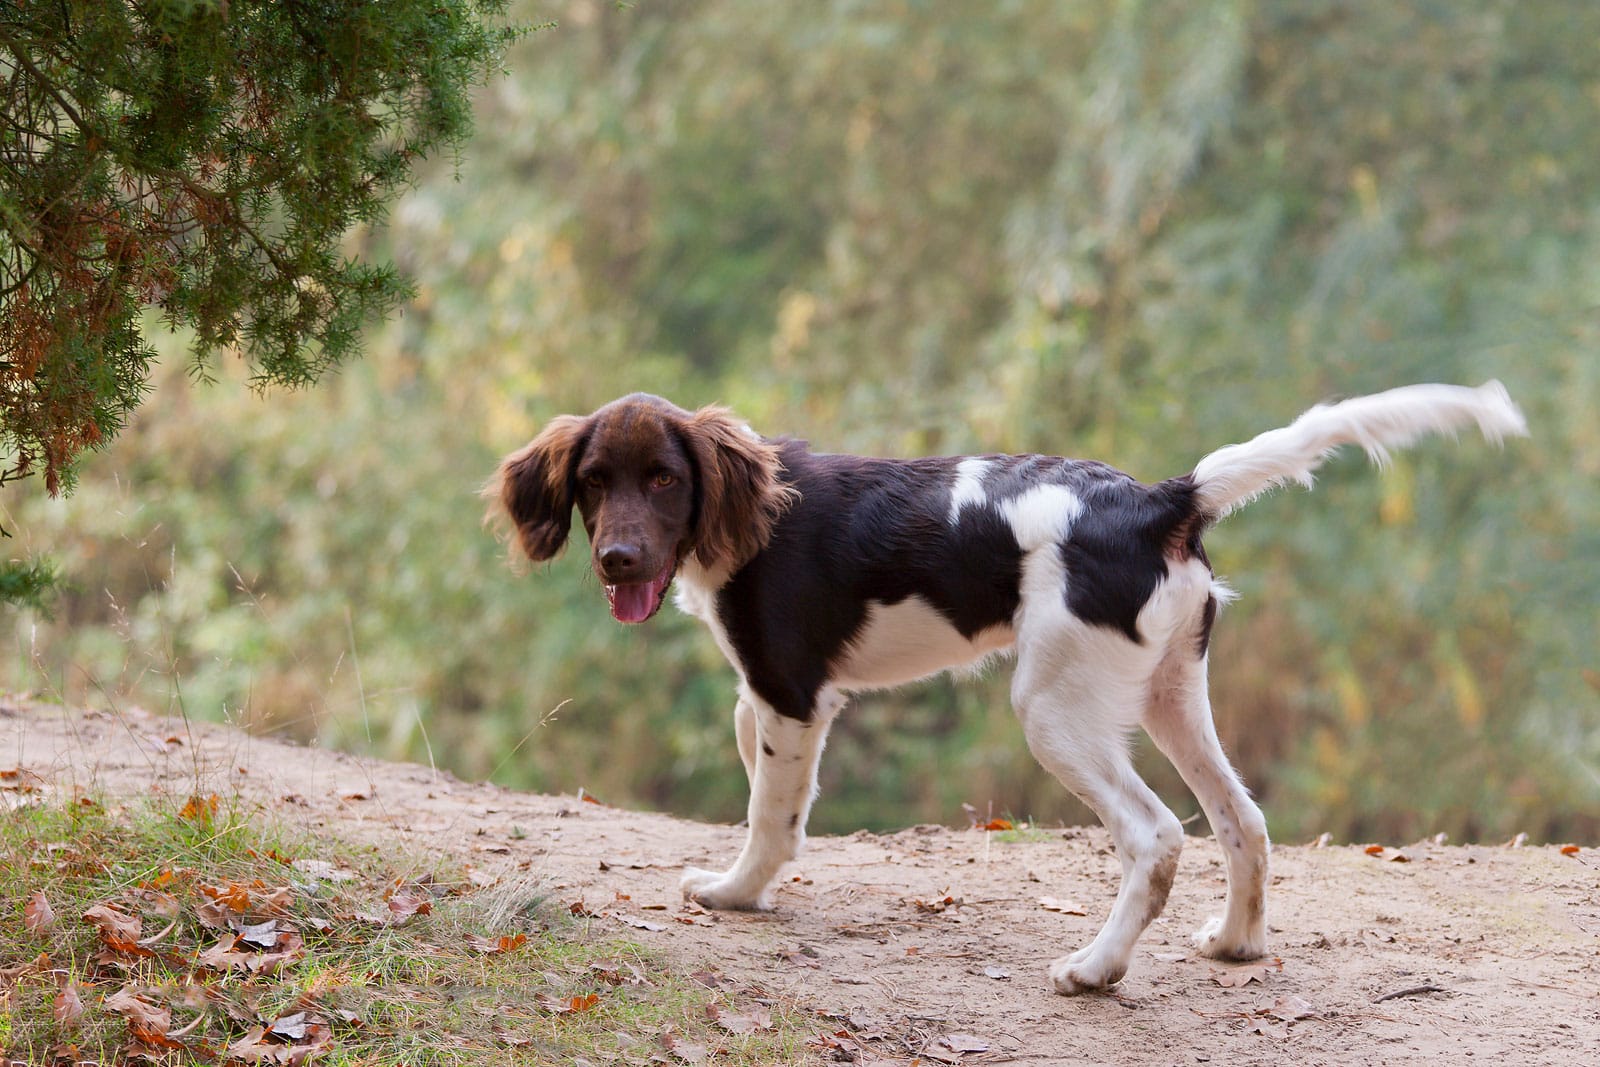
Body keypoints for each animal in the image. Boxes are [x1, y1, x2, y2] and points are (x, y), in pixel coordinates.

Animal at [486, 382, 1523, 991]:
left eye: (665, 478)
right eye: (594, 480)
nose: (618, 560)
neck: (750, 513)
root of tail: (1163, 500)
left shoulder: (788, 691)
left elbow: (768, 813)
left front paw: (737, 894)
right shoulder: (770, 698)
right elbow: (770, 794)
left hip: (1056, 713)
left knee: (1156, 836)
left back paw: (1095, 969)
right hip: (1170, 695)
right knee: (1243, 820)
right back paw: (1235, 942)